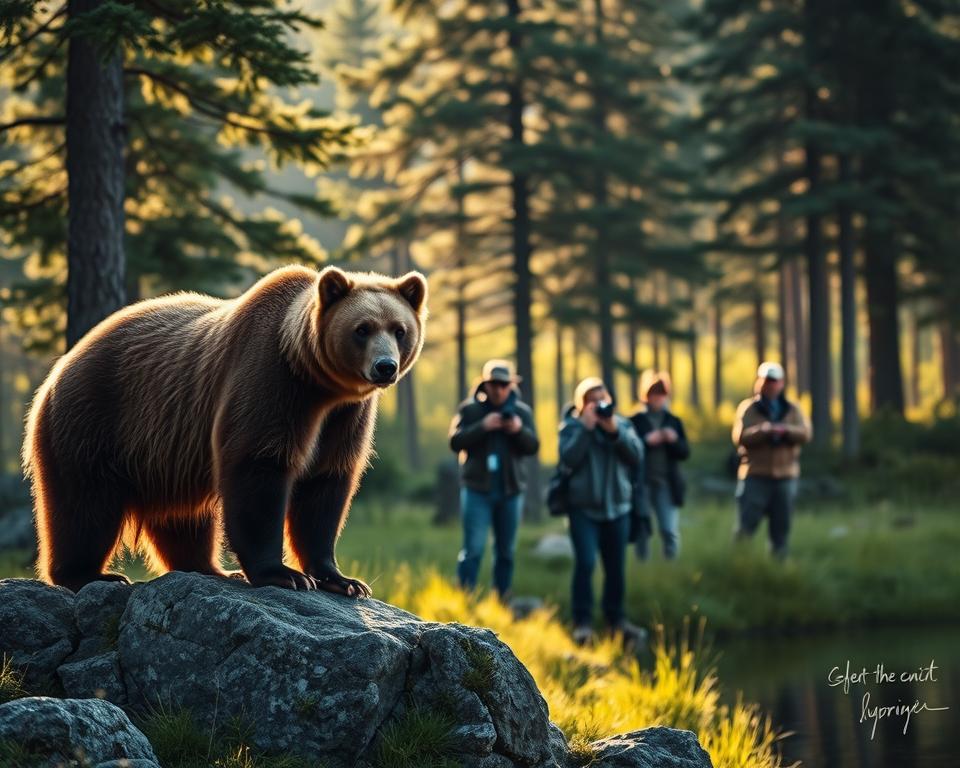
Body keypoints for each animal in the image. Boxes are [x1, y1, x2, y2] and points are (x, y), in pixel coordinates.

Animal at [21, 264, 428, 595]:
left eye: (399, 329)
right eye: (362, 329)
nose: (385, 366)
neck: (317, 384)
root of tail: (60, 367)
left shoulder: (344, 417)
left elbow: (325, 486)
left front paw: (343, 580)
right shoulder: (270, 382)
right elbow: (258, 469)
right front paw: (284, 574)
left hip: (164, 454)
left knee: (182, 517)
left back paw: (211, 569)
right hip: (95, 420)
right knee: (84, 505)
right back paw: (92, 574)